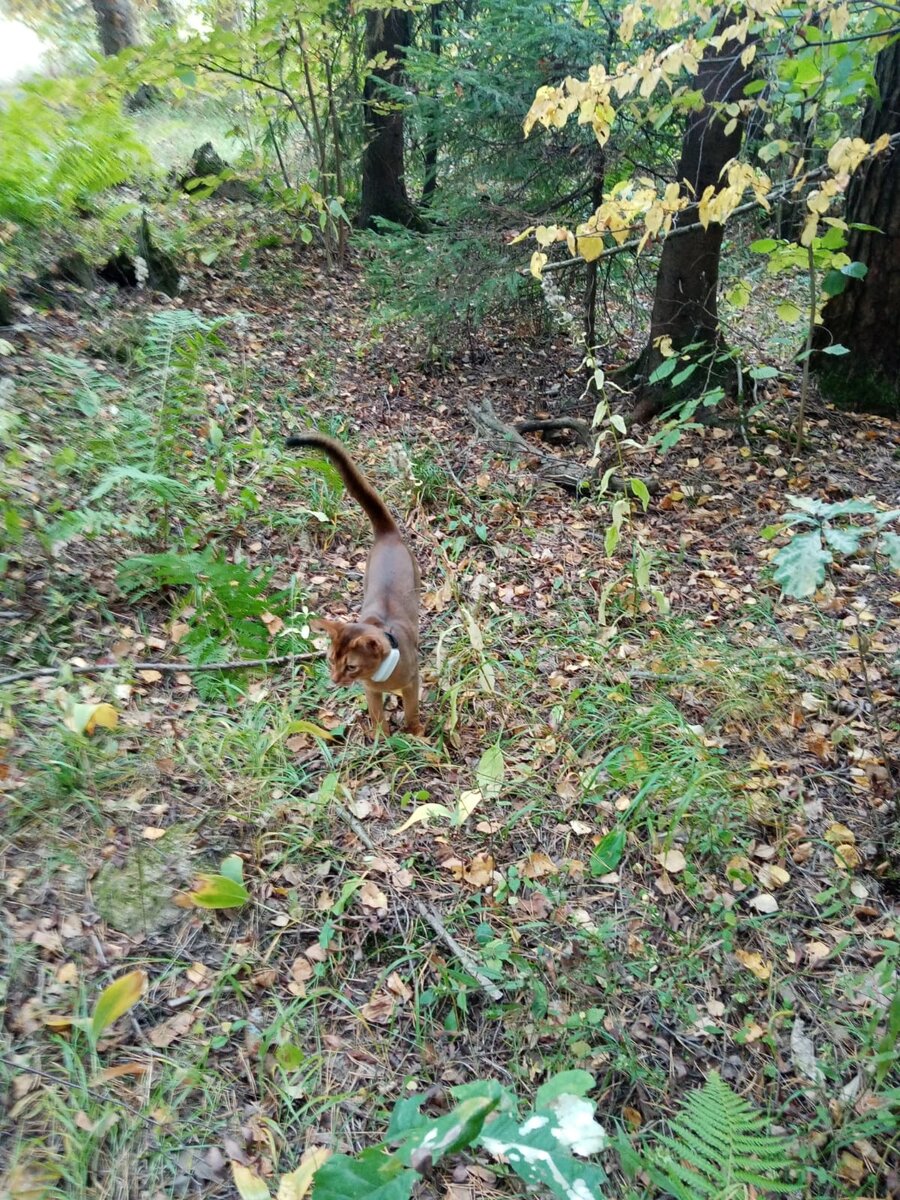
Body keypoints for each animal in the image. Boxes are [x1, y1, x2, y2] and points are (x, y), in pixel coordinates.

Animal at [286, 427, 424, 734]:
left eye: (351, 666)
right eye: (330, 660)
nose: (335, 680)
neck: (382, 677)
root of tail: (387, 534)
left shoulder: (412, 682)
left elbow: (411, 710)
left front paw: (415, 733)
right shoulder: (370, 690)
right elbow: (377, 715)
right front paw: (383, 739)